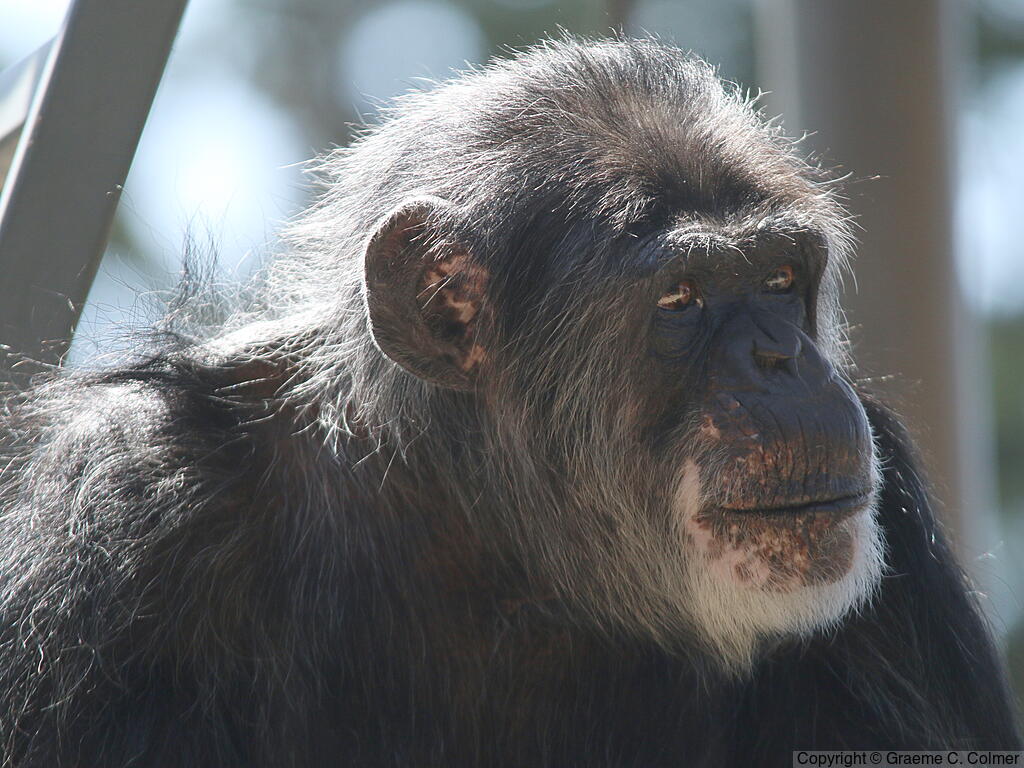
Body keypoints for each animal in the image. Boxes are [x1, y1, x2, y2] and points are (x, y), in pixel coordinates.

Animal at [0, 37, 1019, 767]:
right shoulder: (123, 514)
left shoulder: (902, 584)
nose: (785, 362)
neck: (498, 542)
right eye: (680, 299)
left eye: (779, 278)